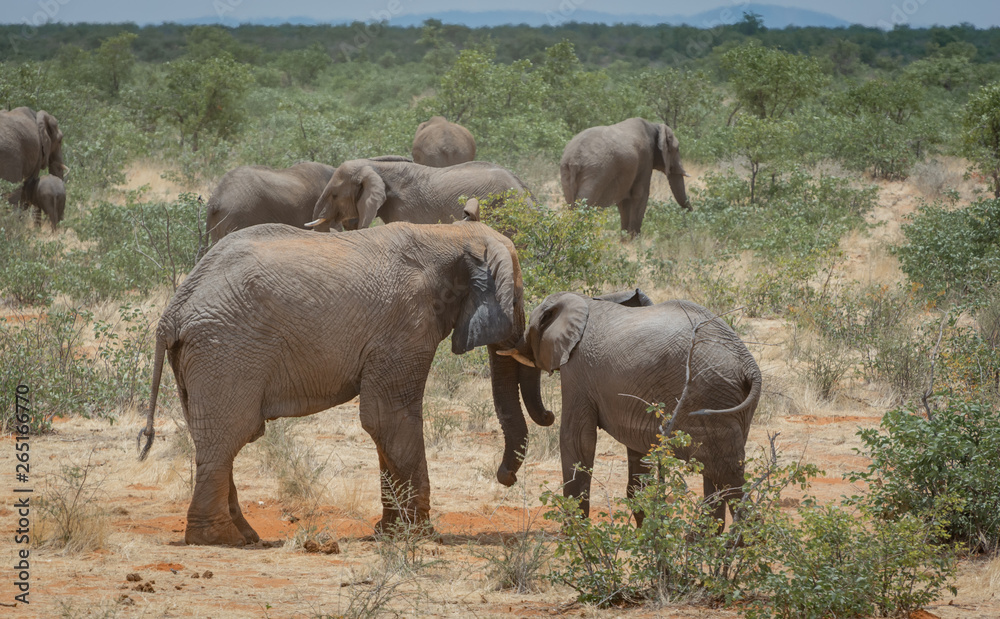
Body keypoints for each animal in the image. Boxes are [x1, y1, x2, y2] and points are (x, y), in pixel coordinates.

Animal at [139, 220, 556, 544]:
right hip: (226, 349)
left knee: (211, 438)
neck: (449, 234)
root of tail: (172, 312)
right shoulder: (405, 325)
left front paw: (390, 533)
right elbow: (387, 417)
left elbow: (383, 425)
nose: (505, 478)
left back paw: (244, 535)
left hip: (202, 356)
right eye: (516, 300)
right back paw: (220, 539)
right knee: (228, 437)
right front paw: (420, 535)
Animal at [500, 290, 756, 528]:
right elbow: (639, 448)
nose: (508, 478)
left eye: (531, 328)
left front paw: (575, 535)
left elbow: (577, 439)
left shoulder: (577, 370)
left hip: (708, 394)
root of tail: (749, 365)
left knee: (725, 473)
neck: (583, 300)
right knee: (715, 472)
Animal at [560, 117, 692, 236]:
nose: (691, 214)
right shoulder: (645, 159)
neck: (654, 125)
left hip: (566, 171)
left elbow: (624, 201)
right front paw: (633, 240)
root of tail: (574, 159)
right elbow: (641, 195)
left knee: (571, 204)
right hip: (594, 173)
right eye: (677, 149)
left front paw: (625, 240)